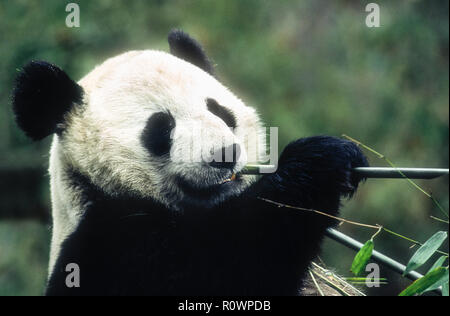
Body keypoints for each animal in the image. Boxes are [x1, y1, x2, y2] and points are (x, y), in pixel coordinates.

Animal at [12, 30, 368, 296]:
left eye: (219, 111)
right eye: (161, 127)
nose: (224, 154)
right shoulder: (107, 248)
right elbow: (232, 264)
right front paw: (320, 161)